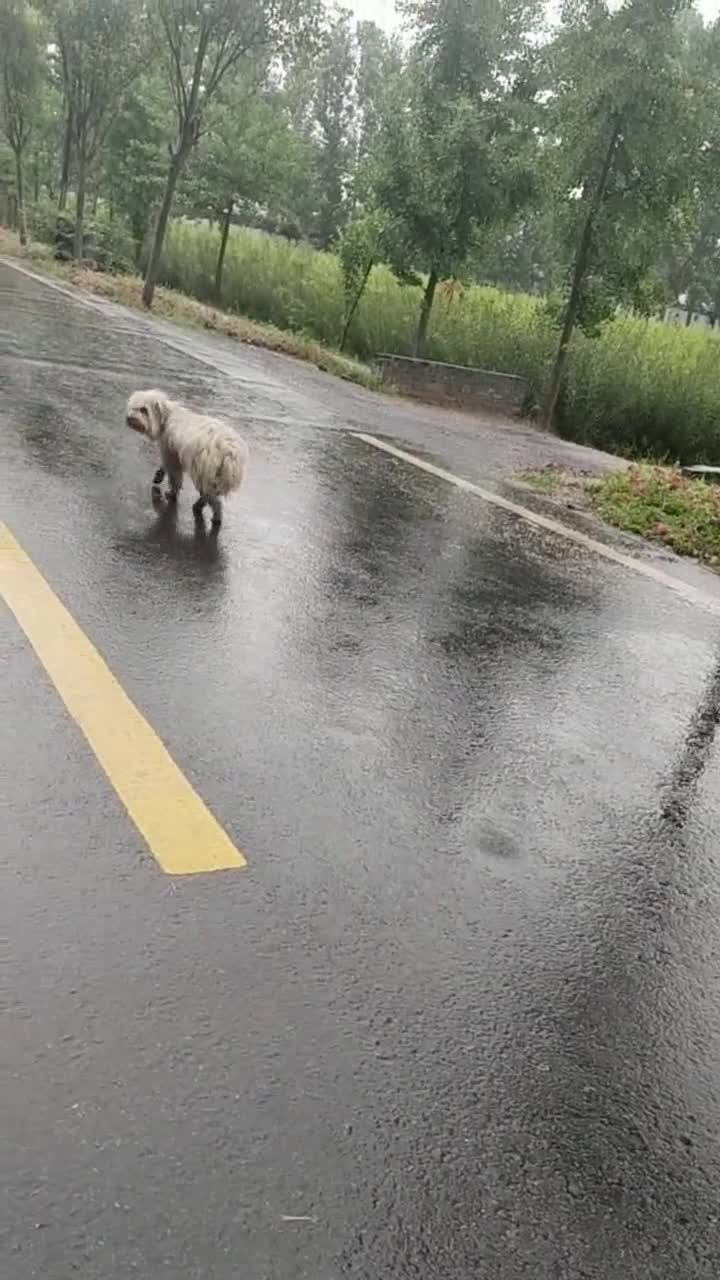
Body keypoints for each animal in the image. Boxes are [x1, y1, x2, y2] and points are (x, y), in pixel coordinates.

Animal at [128, 389, 249, 529]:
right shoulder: (172, 453)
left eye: (143, 410)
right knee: (210, 494)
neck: (168, 416)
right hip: (213, 475)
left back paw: (211, 514)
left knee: (212, 498)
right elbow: (166, 467)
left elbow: (174, 476)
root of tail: (230, 451)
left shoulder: (170, 452)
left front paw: (172, 492)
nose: (130, 418)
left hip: (204, 470)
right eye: (133, 407)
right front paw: (159, 475)